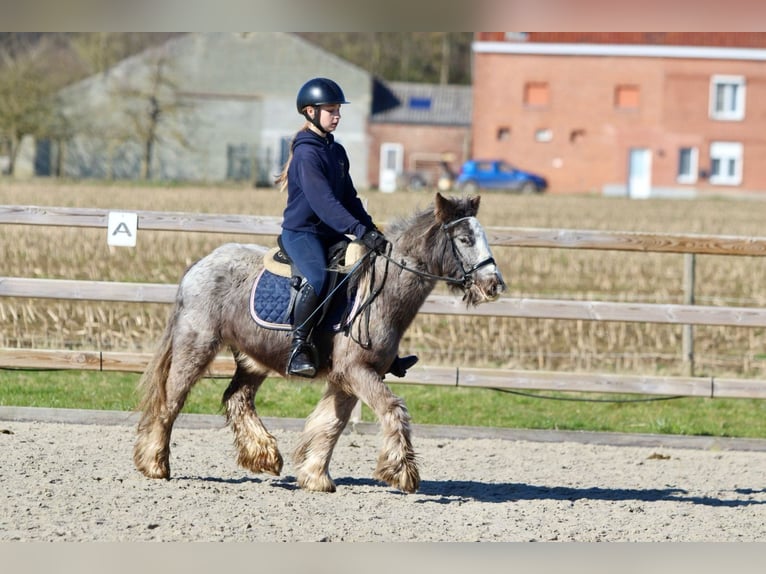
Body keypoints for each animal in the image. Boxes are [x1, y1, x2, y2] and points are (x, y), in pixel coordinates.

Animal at [135, 194, 508, 496]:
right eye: (465, 238)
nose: (494, 286)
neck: (381, 292)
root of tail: (199, 265)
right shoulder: (357, 371)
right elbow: (392, 409)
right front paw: (402, 472)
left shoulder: (348, 376)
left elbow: (331, 424)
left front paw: (315, 476)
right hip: (196, 346)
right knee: (171, 401)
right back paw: (155, 464)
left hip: (253, 358)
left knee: (237, 398)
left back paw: (264, 455)